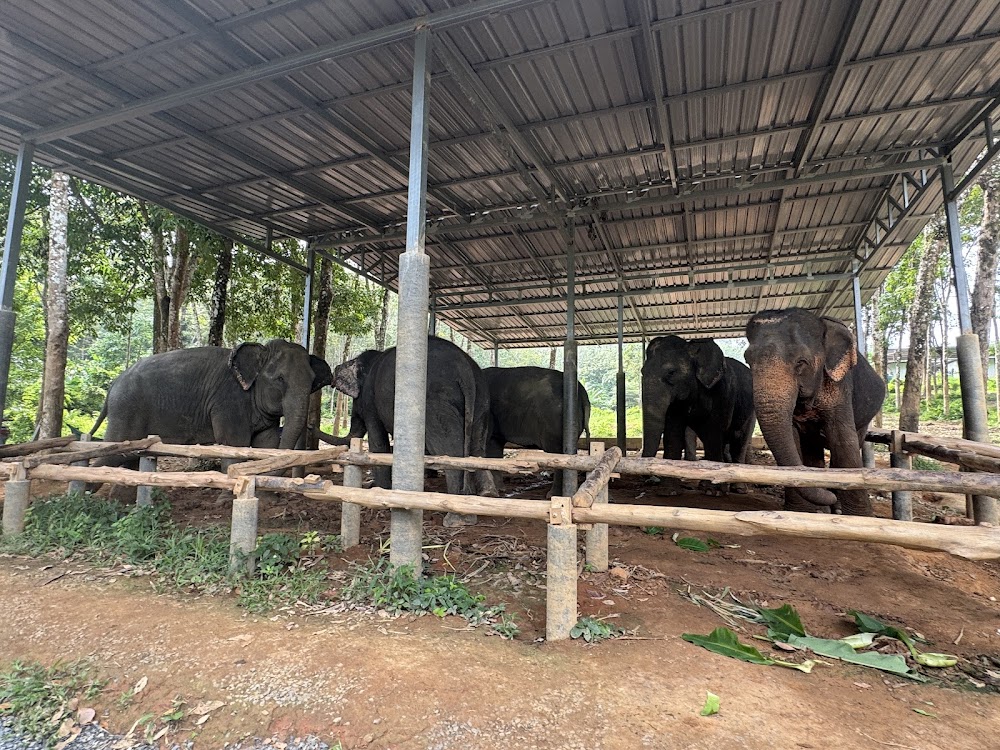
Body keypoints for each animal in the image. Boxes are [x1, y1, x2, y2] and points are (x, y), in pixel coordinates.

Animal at [91, 339, 333, 468]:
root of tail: (114, 384)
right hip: (126, 410)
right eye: (280, 379)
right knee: (113, 450)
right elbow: (235, 444)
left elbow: (266, 443)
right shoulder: (227, 401)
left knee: (129, 455)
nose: (311, 425)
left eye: (313, 381)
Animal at [333, 336, 497, 500]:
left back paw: (457, 501)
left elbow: (378, 443)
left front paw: (379, 487)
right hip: (482, 401)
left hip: (436, 402)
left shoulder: (370, 401)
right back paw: (488, 493)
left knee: (451, 449)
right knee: (478, 446)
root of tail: (465, 369)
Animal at [481, 366, 591, 496]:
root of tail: (582, 393)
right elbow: (494, 446)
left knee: (556, 453)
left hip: (553, 422)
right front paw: (499, 489)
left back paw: (552, 494)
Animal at [641, 335, 755, 465]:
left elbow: (713, 436)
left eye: (671, 373)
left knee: (739, 439)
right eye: (642, 372)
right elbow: (673, 435)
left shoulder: (723, 392)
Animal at [744, 308, 886, 515]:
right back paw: (824, 509)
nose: (829, 495)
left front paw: (862, 517)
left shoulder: (840, 385)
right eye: (747, 360)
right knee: (812, 448)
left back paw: (835, 508)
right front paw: (798, 511)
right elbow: (793, 437)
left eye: (801, 362)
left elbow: (843, 441)